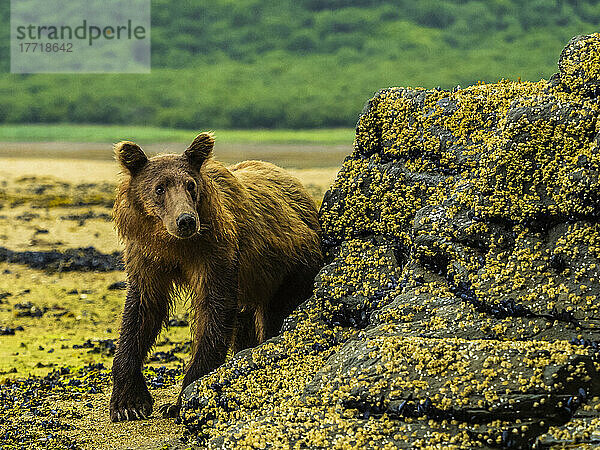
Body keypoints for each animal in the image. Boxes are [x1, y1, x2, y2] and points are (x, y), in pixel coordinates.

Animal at [109, 132, 322, 420]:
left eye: (190, 185)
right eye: (160, 188)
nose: (186, 220)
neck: (174, 245)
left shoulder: (217, 252)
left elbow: (214, 309)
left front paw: (180, 400)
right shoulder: (147, 257)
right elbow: (141, 311)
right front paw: (128, 403)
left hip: (290, 267)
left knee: (274, 316)